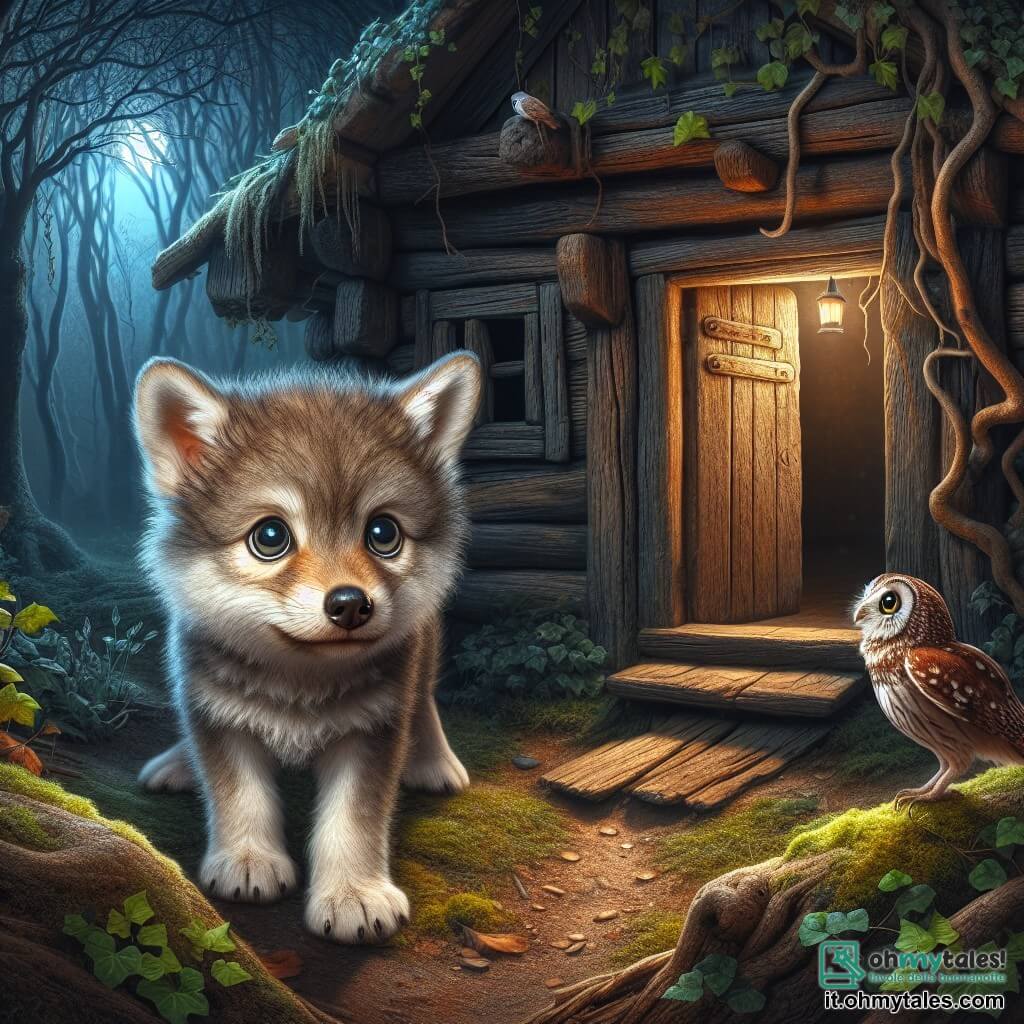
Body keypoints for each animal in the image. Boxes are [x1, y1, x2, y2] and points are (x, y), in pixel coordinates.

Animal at [132, 351, 481, 943]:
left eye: (383, 533)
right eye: (270, 537)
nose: (350, 604)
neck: (298, 679)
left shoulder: (375, 727)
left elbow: (354, 819)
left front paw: (354, 895)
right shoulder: (216, 713)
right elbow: (237, 794)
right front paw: (248, 860)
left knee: (426, 699)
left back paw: (433, 761)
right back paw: (178, 764)